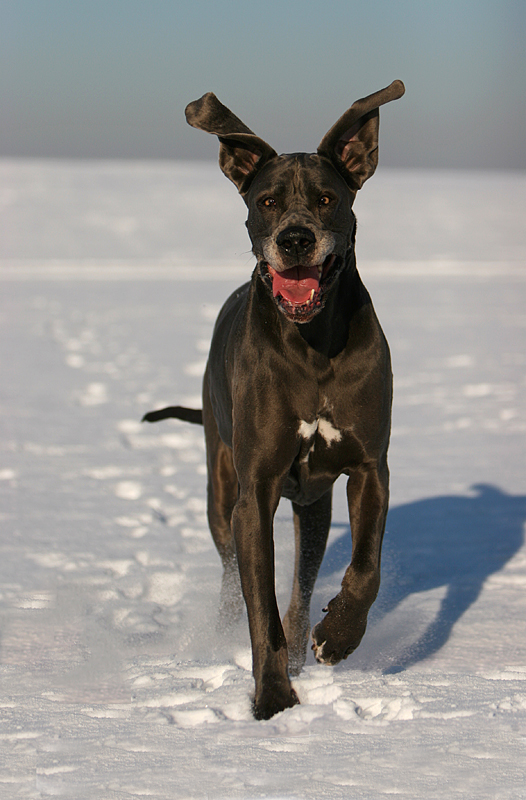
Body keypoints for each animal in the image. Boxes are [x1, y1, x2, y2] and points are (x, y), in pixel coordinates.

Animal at [144, 81, 408, 720]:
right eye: (266, 201)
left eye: (327, 198)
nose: (295, 238)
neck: (313, 347)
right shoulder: (255, 488)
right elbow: (258, 605)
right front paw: (270, 697)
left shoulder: (371, 467)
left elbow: (366, 567)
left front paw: (337, 637)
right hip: (221, 486)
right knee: (232, 575)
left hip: (312, 508)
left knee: (302, 582)